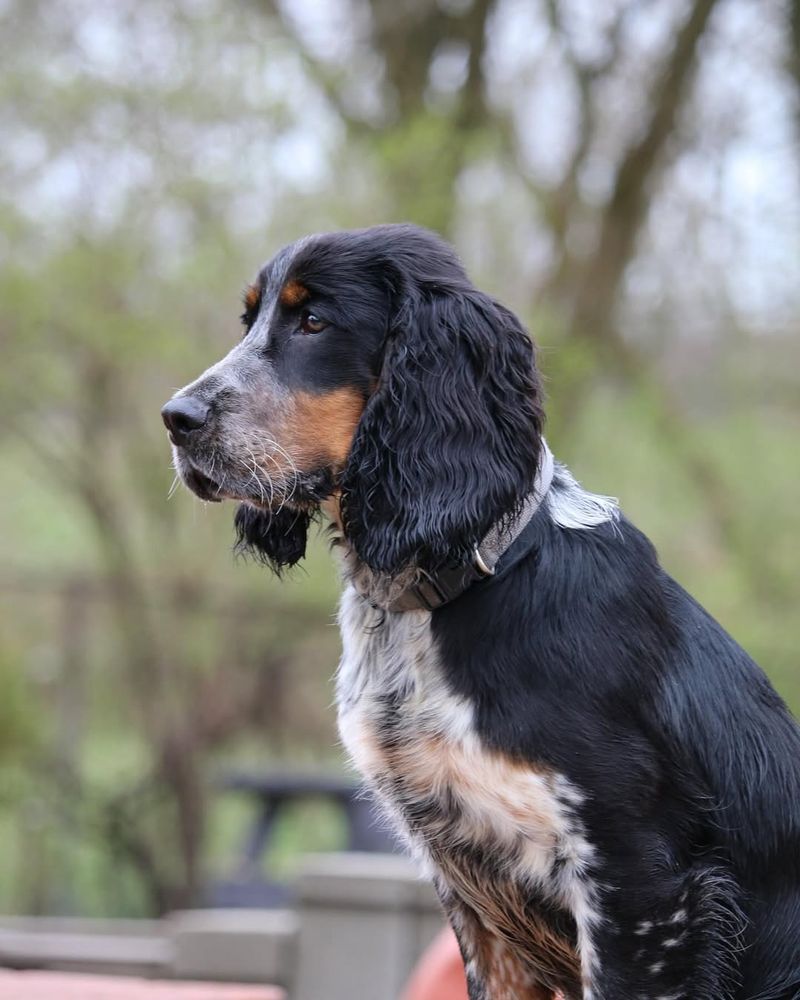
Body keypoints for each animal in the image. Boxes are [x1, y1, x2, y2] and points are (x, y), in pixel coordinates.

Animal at [162, 225, 800, 1000]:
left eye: (313, 321)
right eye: (249, 320)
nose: (177, 418)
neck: (444, 587)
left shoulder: (645, 886)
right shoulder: (474, 903)